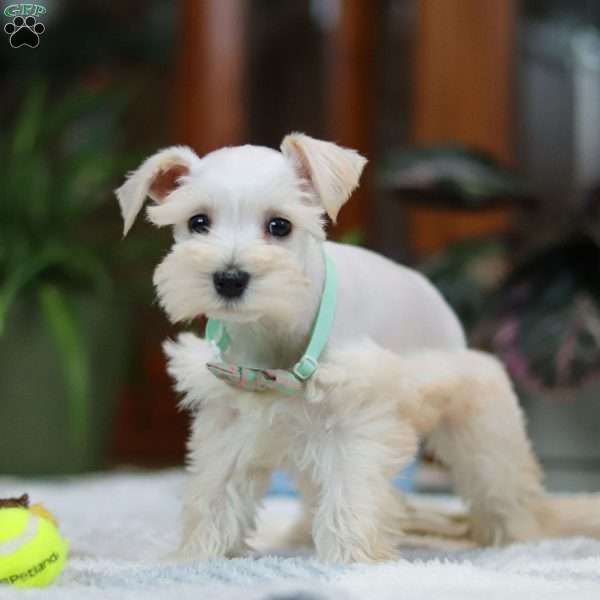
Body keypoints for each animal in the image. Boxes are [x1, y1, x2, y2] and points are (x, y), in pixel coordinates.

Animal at [117, 132, 600, 564]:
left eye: (279, 225)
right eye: (198, 222)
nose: (229, 278)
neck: (277, 329)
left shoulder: (357, 420)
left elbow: (352, 493)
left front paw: (354, 559)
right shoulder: (231, 420)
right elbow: (215, 491)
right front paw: (197, 556)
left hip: (476, 423)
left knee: (504, 488)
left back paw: (519, 534)